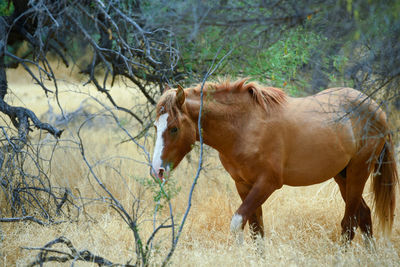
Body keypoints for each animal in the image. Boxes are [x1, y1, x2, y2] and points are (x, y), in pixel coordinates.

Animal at [149, 79, 396, 245]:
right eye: (155, 126)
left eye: (174, 128)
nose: (156, 171)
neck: (244, 127)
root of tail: (377, 109)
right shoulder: (243, 185)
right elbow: (256, 230)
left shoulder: (267, 183)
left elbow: (237, 223)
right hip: (342, 175)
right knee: (364, 216)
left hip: (358, 171)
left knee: (349, 224)